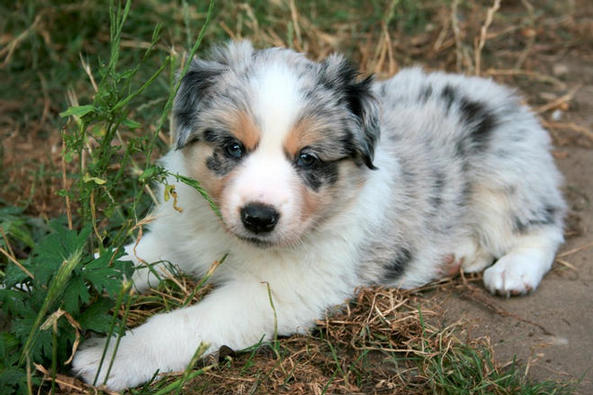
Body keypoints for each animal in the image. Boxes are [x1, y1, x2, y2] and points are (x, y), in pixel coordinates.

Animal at [74, 40, 564, 390]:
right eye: (233, 147)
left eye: (308, 158)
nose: (258, 217)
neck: (232, 241)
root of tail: (497, 92)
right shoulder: (173, 239)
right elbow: (117, 261)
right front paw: (59, 280)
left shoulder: (280, 293)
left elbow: (188, 322)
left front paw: (111, 359)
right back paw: (459, 254)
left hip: (506, 179)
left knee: (543, 225)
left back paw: (513, 272)